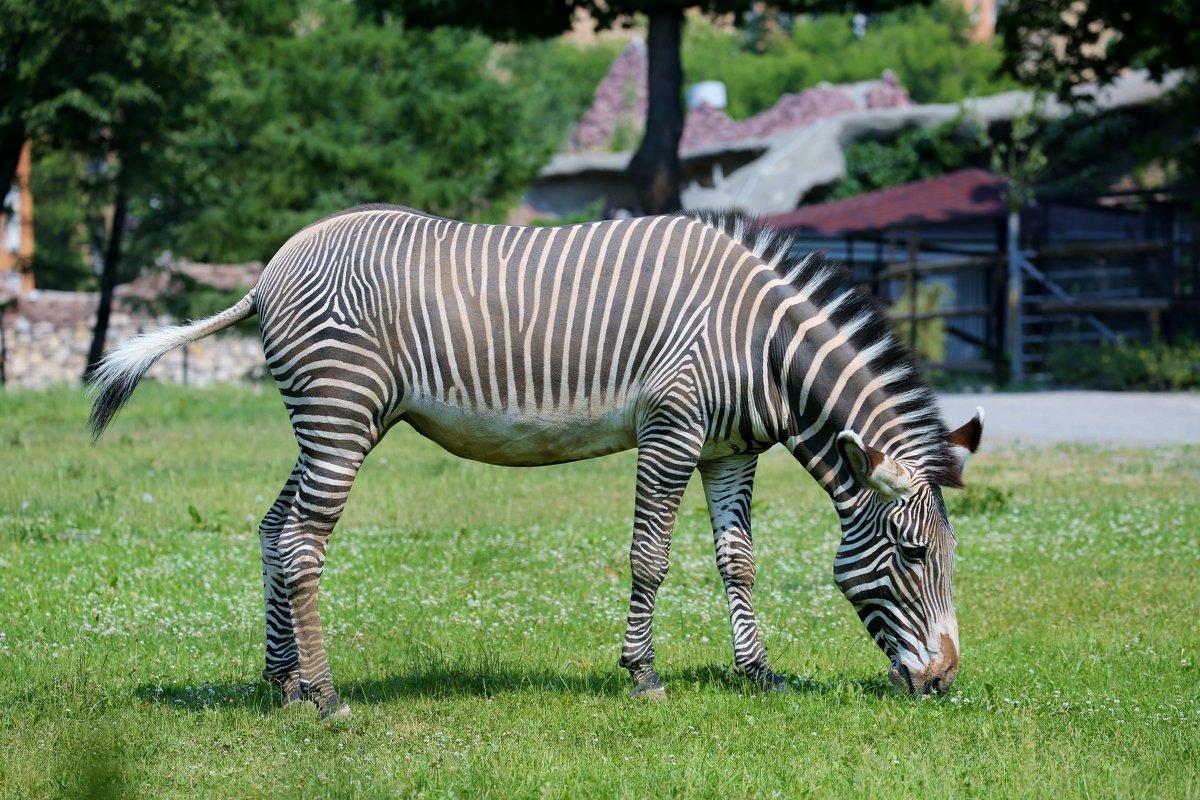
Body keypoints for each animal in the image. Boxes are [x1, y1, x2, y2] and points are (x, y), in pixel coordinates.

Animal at [87, 205, 984, 719]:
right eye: (913, 555)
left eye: (949, 558)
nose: (944, 680)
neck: (761, 343)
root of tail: (271, 270)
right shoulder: (672, 426)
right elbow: (650, 556)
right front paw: (643, 675)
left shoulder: (729, 450)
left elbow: (738, 561)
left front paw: (758, 674)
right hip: (340, 414)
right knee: (304, 543)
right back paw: (328, 697)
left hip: (330, 422)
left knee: (275, 530)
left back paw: (283, 685)